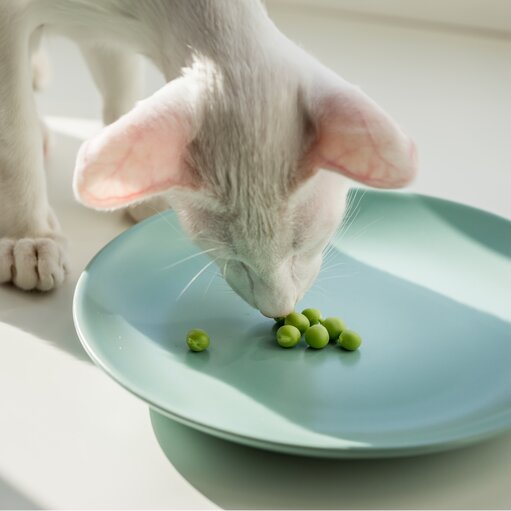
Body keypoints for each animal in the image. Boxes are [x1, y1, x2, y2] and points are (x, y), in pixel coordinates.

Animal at [0, 2, 416, 318]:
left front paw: (138, 185)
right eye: (235, 258)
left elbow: (119, 87)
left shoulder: (106, 34)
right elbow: (14, 131)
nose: (279, 310)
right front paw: (29, 235)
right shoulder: (10, 20)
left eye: (304, 246)